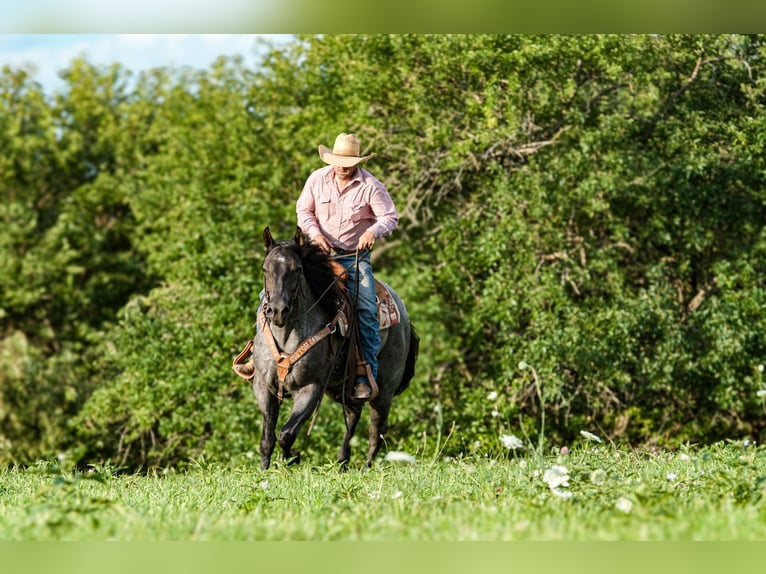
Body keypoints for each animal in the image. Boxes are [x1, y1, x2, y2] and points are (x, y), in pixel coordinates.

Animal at [252, 227, 420, 470]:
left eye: (297, 270)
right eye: (266, 269)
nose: (277, 311)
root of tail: (404, 315)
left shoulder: (310, 388)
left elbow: (286, 434)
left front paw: (293, 457)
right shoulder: (263, 386)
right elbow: (268, 438)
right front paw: (264, 469)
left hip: (384, 390)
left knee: (376, 430)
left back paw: (365, 468)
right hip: (340, 386)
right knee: (353, 414)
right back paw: (342, 460)